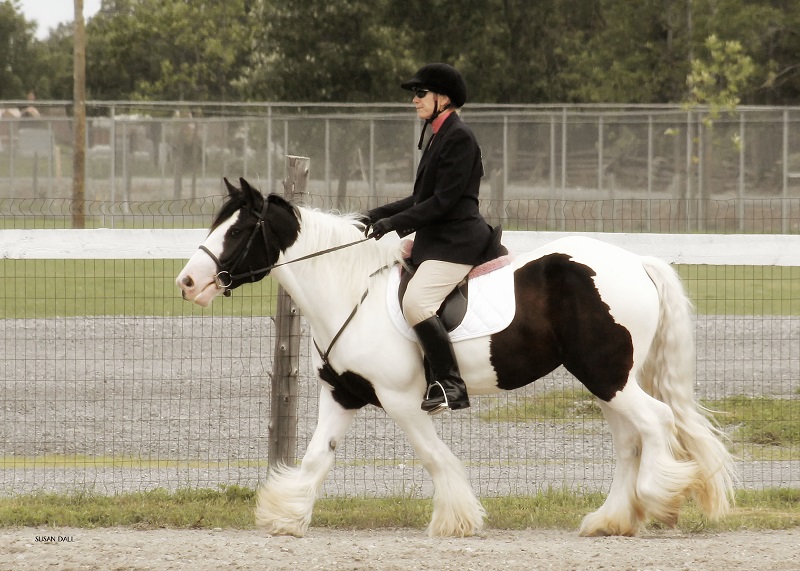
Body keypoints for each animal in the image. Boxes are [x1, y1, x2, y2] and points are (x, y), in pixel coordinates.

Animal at [176, 177, 735, 538]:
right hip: (606, 378)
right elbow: (318, 456)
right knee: (628, 441)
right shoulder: (342, 393)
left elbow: (434, 457)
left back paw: (661, 499)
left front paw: (457, 520)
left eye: (236, 231)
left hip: (607, 375)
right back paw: (610, 520)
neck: (349, 288)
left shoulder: (402, 400)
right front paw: (285, 516)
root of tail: (636, 261)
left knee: (655, 423)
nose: (187, 283)